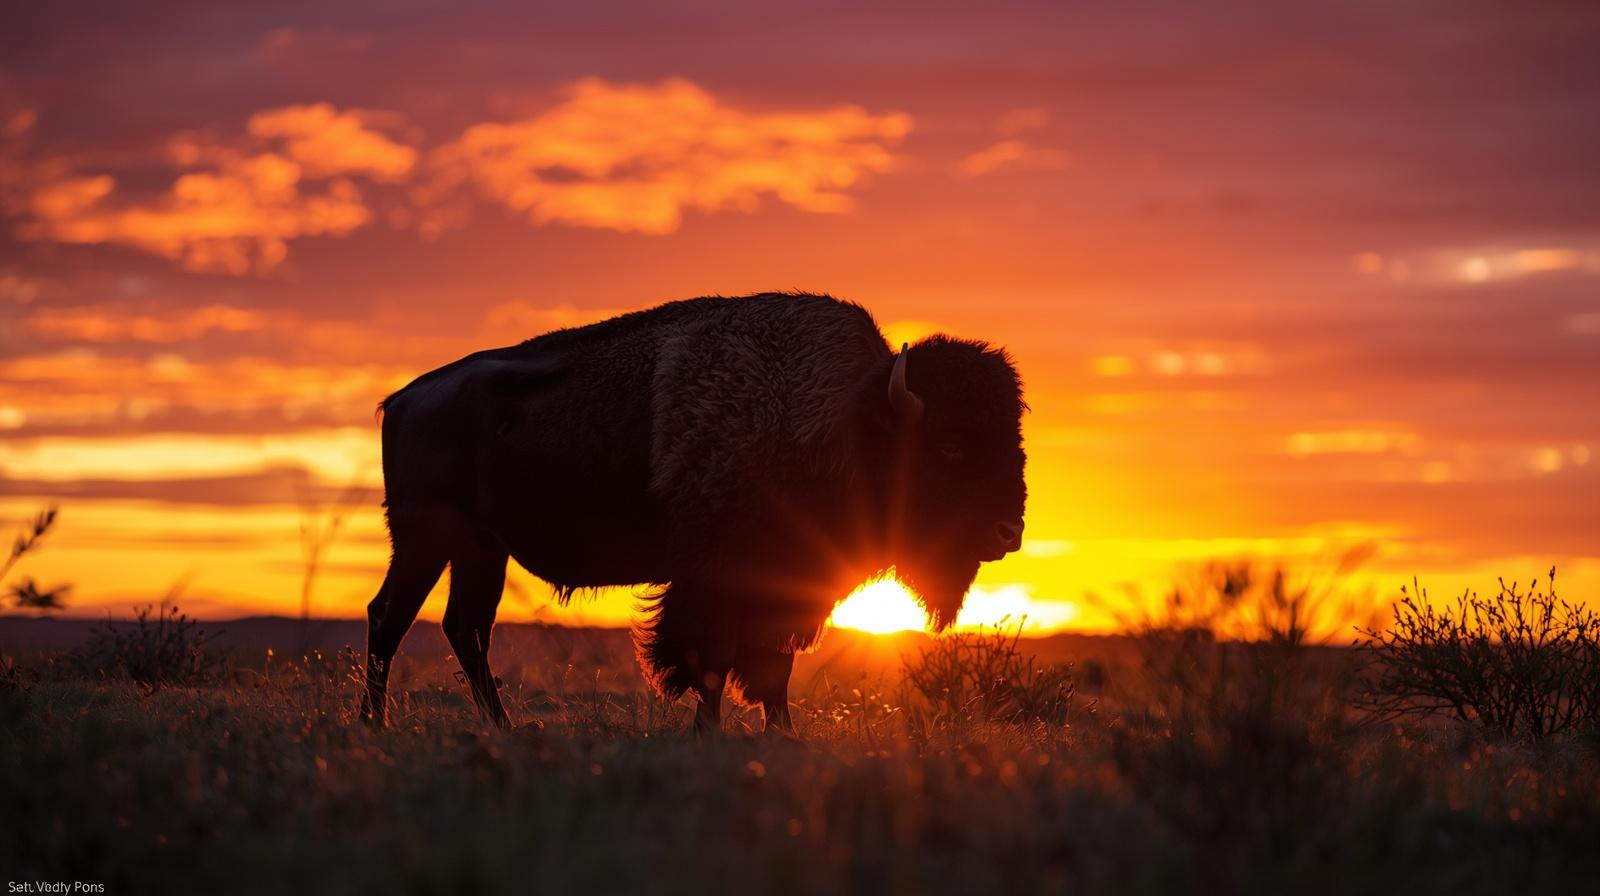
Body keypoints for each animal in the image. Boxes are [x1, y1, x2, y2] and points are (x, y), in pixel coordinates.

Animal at [360, 293, 1027, 732]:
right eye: (949, 446)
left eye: (1013, 441)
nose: (1009, 532)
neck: (839, 423)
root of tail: (405, 399)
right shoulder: (714, 582)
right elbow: (714, 660)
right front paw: (709, 733)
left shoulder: (786, 591)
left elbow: (771, 668)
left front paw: (783, 736)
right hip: (427, 536)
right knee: (393, 616)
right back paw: (377, 724)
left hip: (480, 547)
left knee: (463, 626)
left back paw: (499, 727)